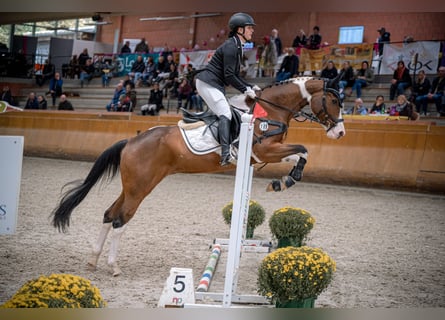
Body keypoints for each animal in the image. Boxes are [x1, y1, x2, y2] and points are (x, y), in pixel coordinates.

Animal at [51, 75, 344, 276]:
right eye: (332, 101)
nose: (339, 133)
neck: (271, 110)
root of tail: (131, 141)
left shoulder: (265, 155)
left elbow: (300, 154)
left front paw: (281, 181)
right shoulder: (265, 151)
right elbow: (303, 150)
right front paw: (285, 181)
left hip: (132, 185)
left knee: (109, 214)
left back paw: (93, 260)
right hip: (141, 187)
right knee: (120, 220)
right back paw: (114, 266)